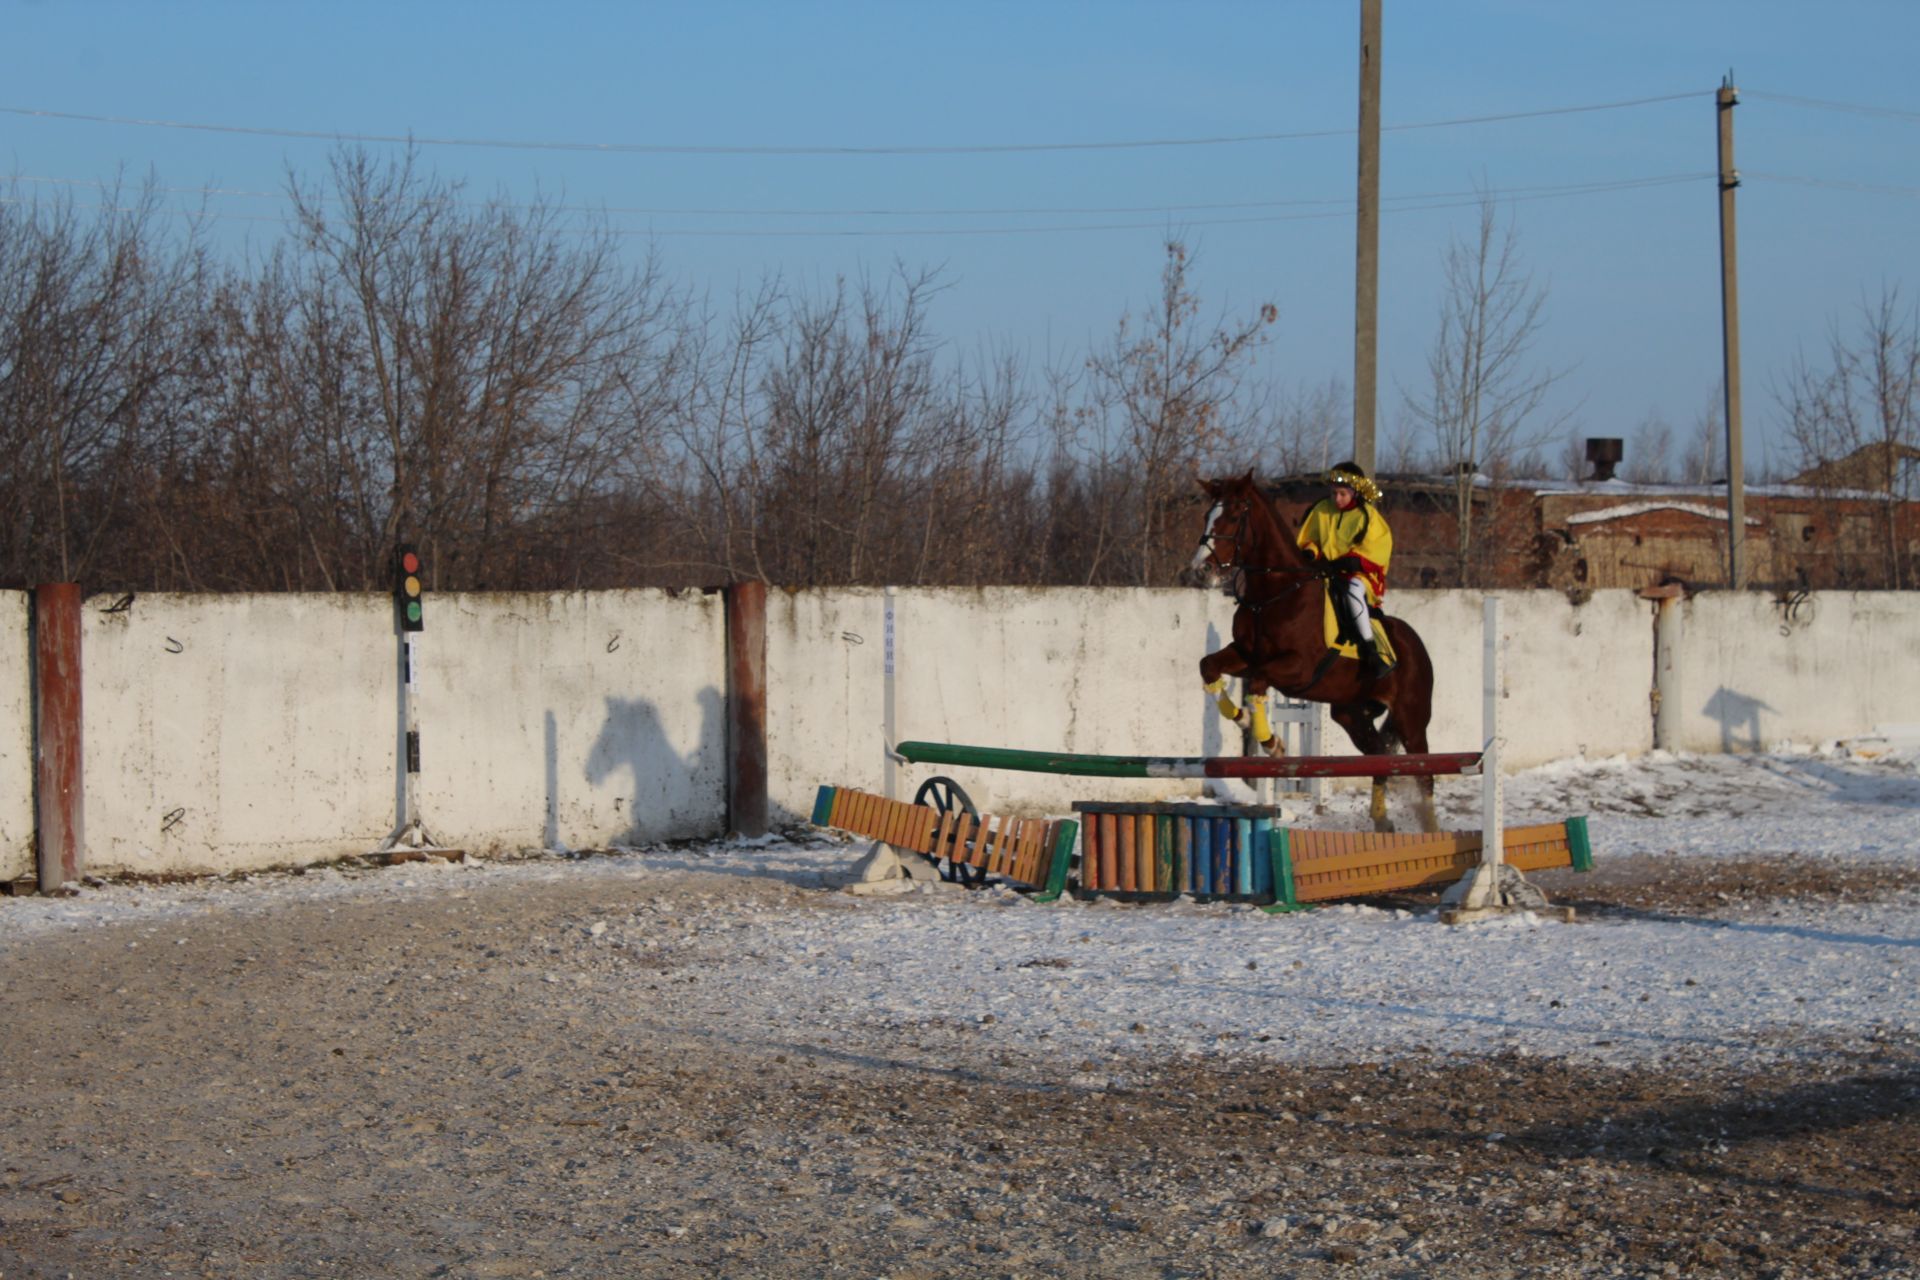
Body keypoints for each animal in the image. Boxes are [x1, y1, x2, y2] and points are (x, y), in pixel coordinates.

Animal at [1182, 475, 1443, 836]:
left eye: (1233, 517)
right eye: (1208, 515)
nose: (1201, 571)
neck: (1274, 594)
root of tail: (1416, 645)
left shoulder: (1298, 668)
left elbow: (1259, 681)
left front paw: (1271, 742)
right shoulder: (1244, 655)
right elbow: (1208, 666)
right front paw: (1243, 718)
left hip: (1411, 718)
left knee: (1424, 775)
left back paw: (1430, 828)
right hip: (1350, 714)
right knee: (1379, 756)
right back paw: (1380, 818)